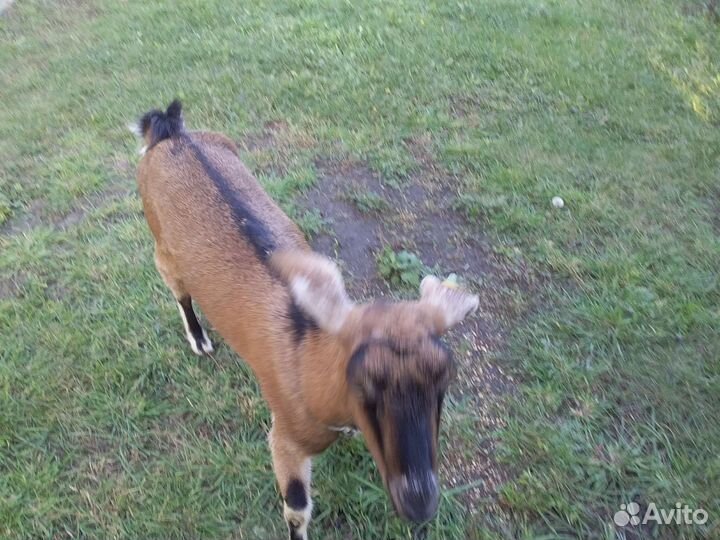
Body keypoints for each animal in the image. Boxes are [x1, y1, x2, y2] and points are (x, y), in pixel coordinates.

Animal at [132, 100, 479, 540]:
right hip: (162, 245)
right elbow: (297, 508)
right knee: (177, 288)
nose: (420, 503)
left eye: (444, 382)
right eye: (363, 386)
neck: (307, 354)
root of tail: (169, 132)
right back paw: (199, 340)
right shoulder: (286, 436)